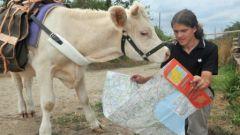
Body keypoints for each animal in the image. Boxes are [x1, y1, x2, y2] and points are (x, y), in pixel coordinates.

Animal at [10, 2, 170, 135]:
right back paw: (23, 110)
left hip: (28, 68)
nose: (167, 52)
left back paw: (31, 109)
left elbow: (84, 99)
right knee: (18, 86)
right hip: (14, 66)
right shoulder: (44, 68)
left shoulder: (79, 68)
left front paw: (95, 124)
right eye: (144, 32)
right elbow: (48, 103)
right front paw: (45, 130)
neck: (69, 33)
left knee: (27, 83)